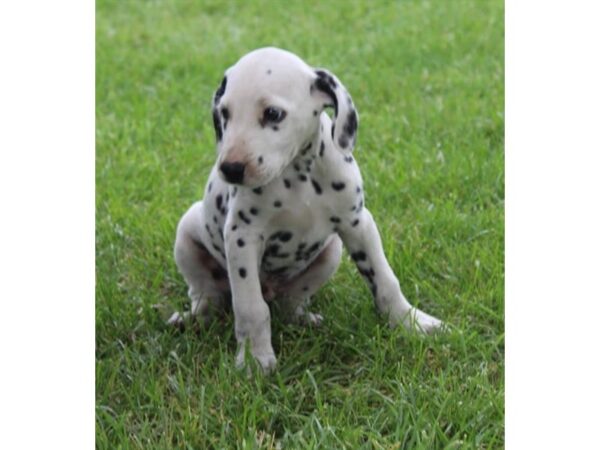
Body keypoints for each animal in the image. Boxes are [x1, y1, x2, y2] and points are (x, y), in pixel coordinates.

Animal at [171, 46, 442, 372]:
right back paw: (190, 319)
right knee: (205, 295)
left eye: (273, 114)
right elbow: (250, 307)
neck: (297, 177)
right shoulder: (242, 236)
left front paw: (410, 322)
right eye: (225, 113)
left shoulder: (358, 224)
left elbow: (384, 279)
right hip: (187, 232)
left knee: (290, 303)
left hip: (331, 251)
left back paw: (303, 319)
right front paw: (254, 359)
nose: (231, 169)